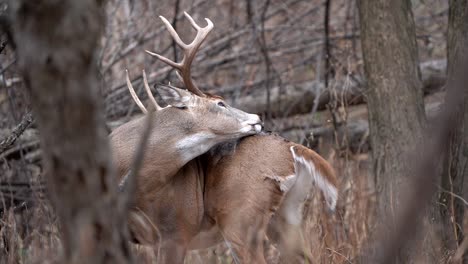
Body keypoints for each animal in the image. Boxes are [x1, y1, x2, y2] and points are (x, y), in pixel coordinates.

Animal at [115, 12, 338, 264]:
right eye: (220, 103)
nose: (257, 117)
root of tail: (292, 147)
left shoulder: (176, 230)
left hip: (240, 217)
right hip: (284, 216)